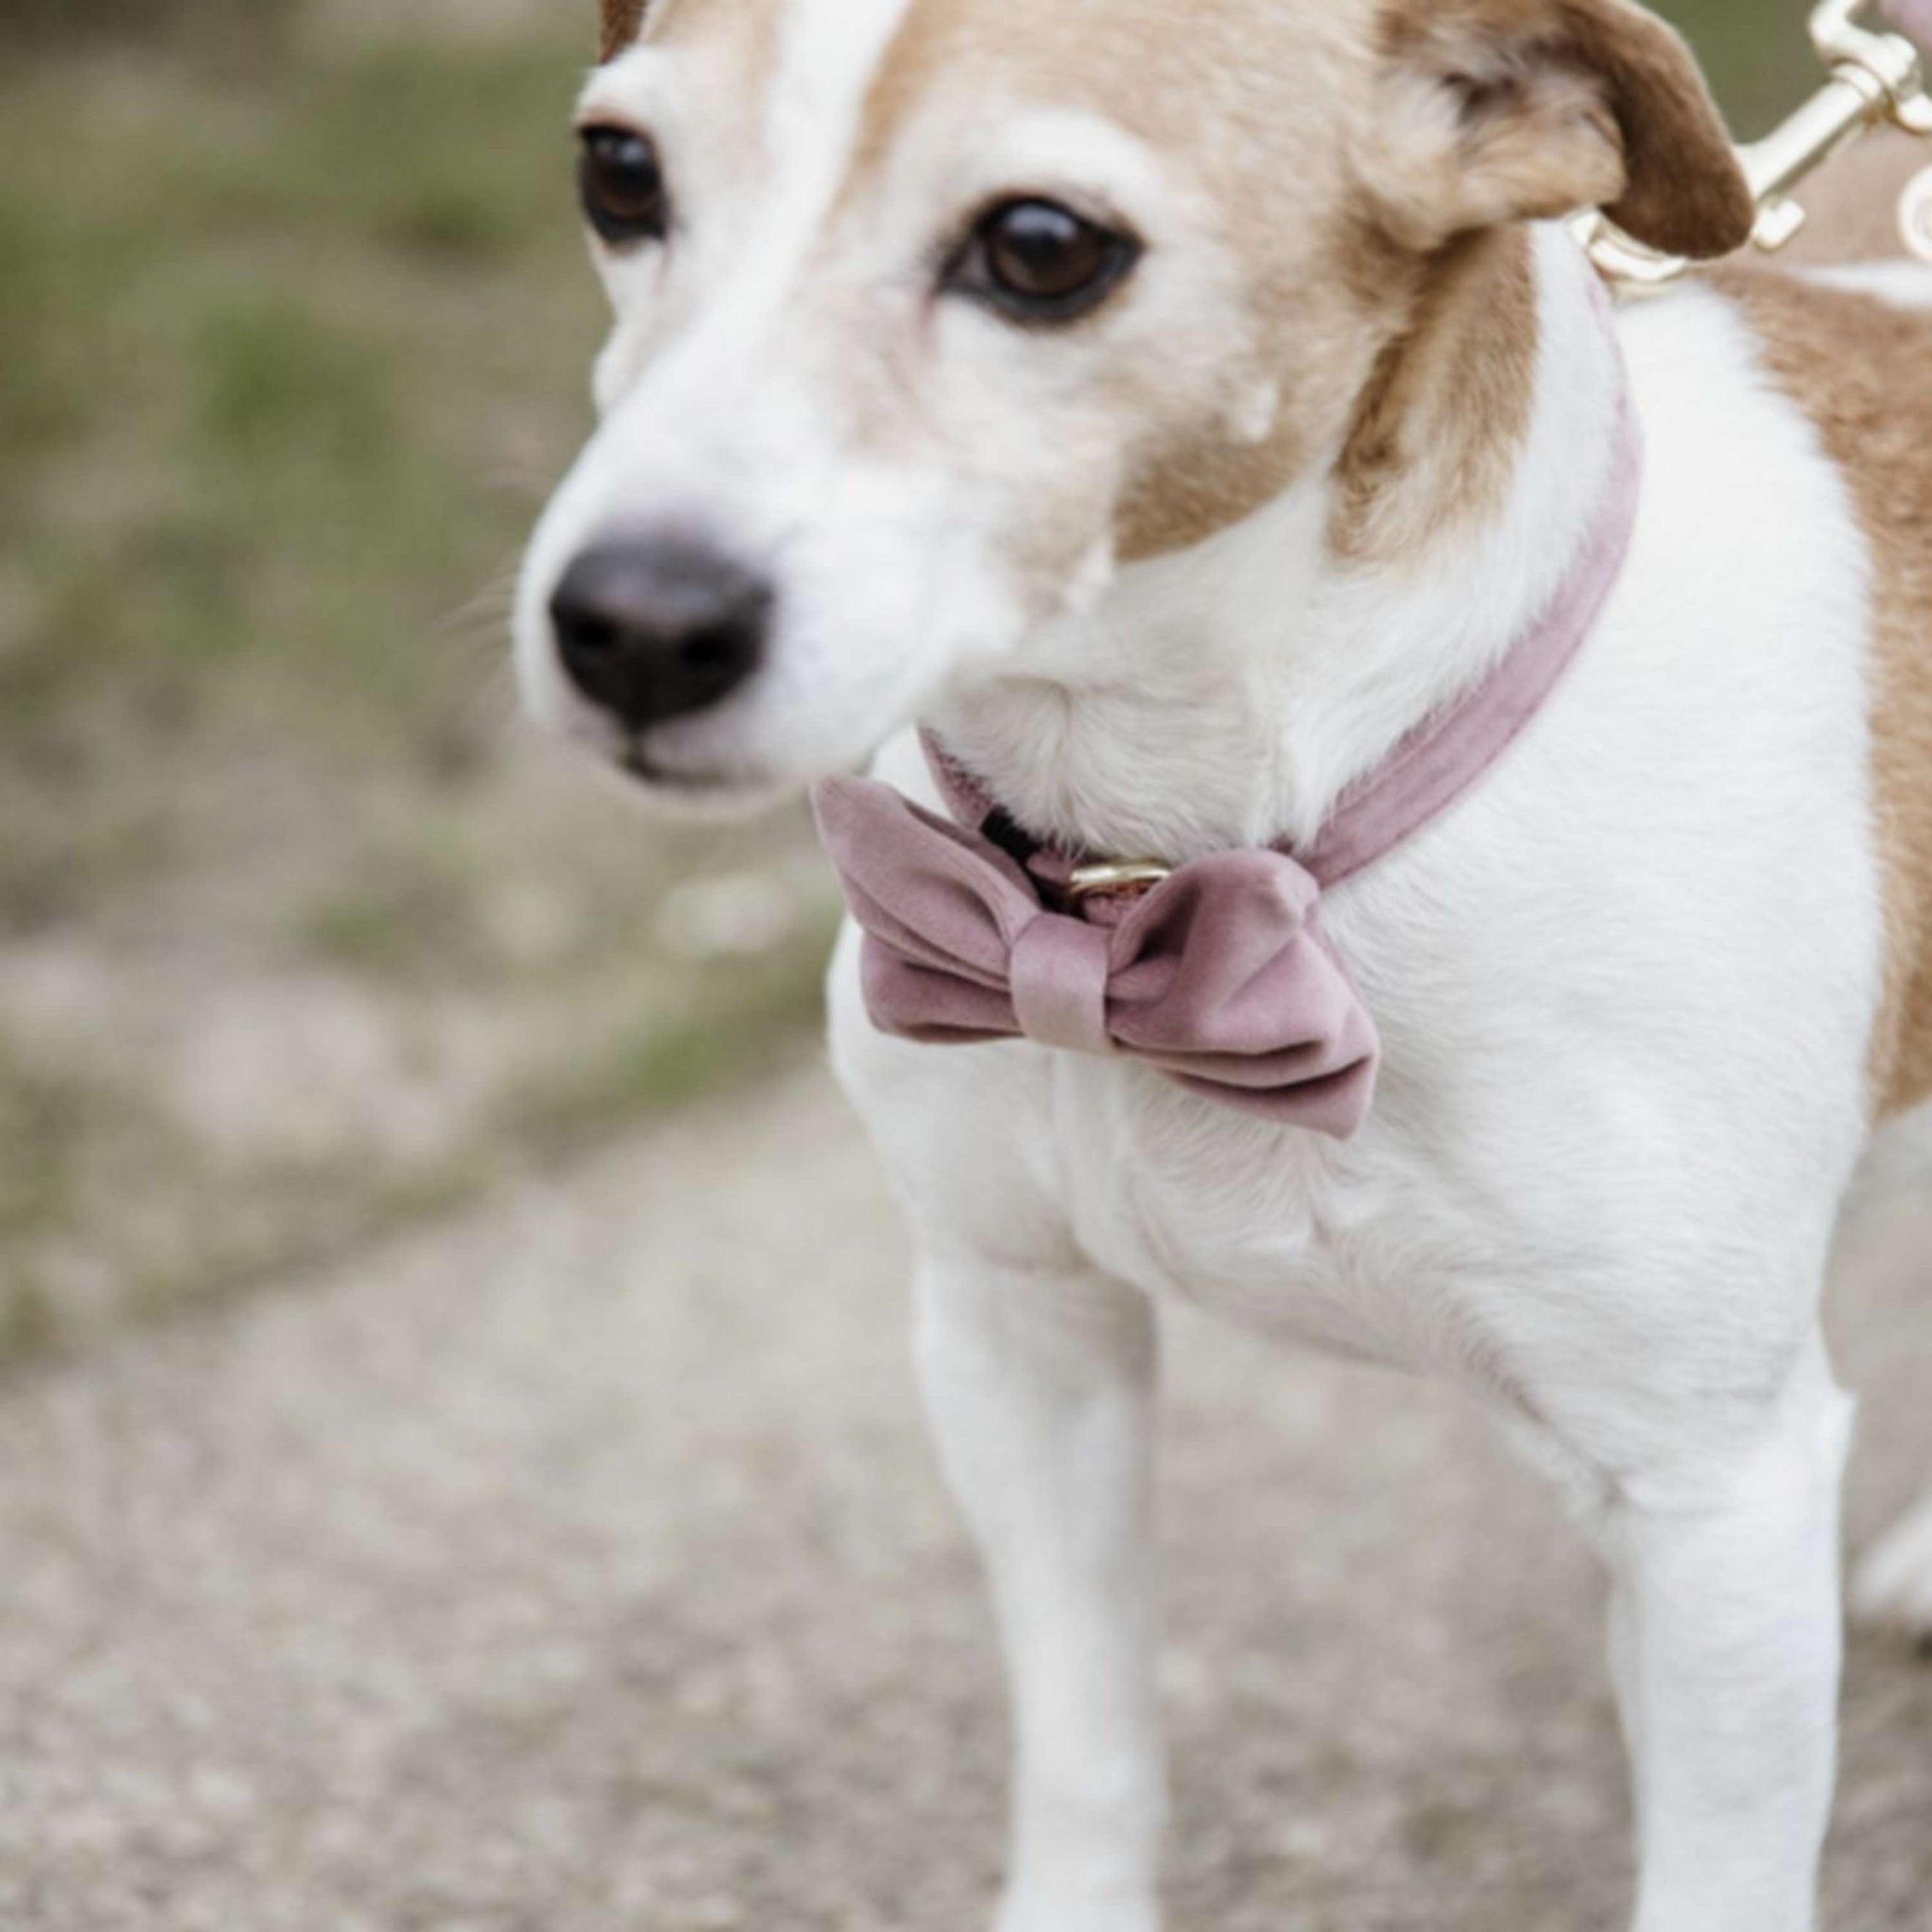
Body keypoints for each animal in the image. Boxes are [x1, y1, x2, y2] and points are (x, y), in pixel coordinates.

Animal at [514, 7, 1932, 1924]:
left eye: (1044, 247)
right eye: (620, 170)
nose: (633, 627)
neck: (1174, 887)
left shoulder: (1712, 1503)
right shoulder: (1018, 1335)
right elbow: (1086, 1748)